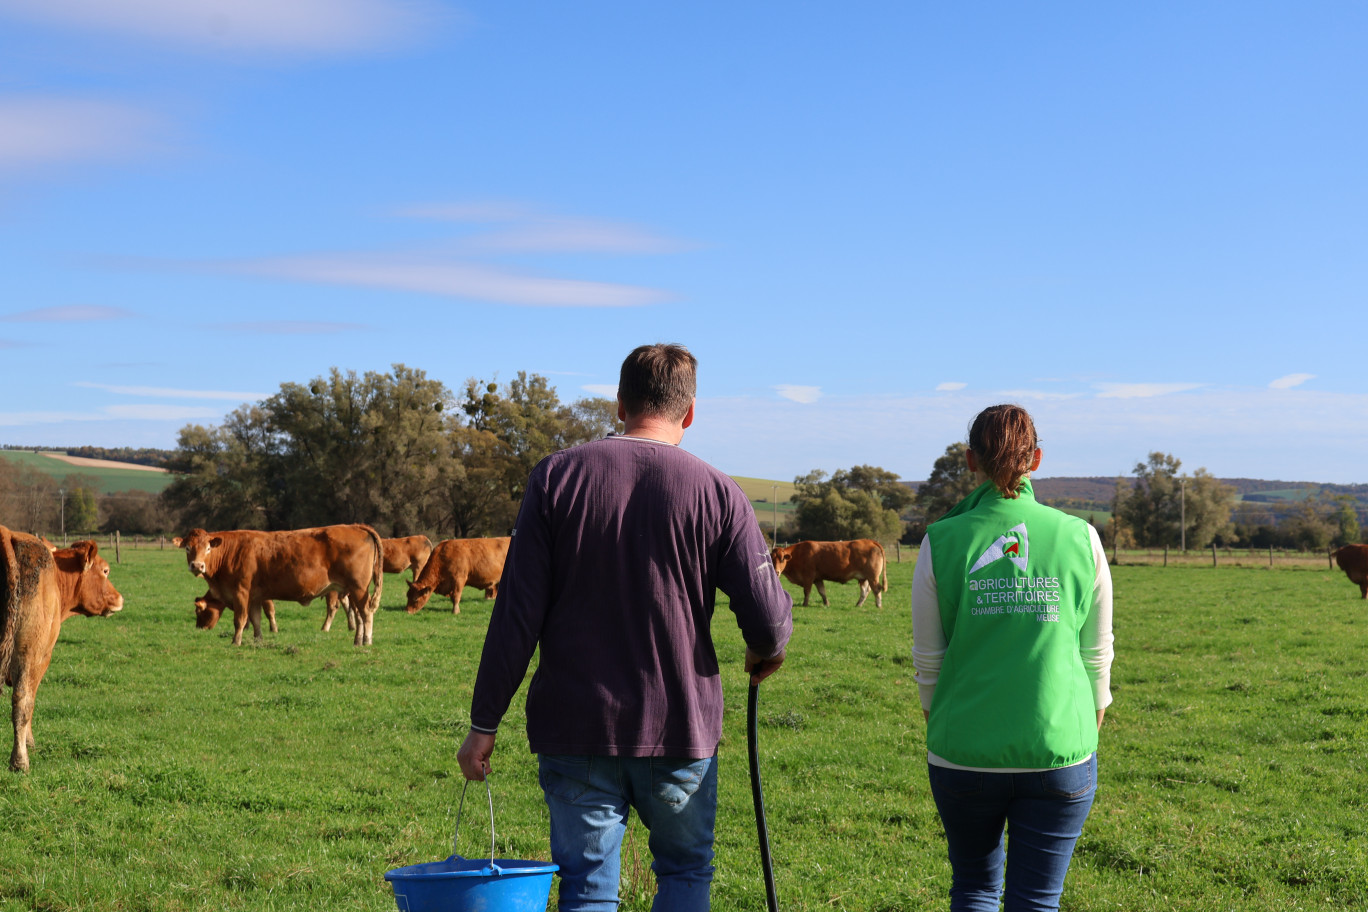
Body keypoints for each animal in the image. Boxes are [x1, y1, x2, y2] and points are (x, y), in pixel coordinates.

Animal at [175, 525, 385, 645]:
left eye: (208, 548)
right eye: (188, 548)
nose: (197, 565)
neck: (231, 551)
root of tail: (356, 527)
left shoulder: (241, 592)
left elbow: (240, 620)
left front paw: (236, 642)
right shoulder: (255, 596)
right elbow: (256, 619)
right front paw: (258, 640)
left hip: (358, 588)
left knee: (366, 613)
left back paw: (367, 641)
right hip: (352, 590)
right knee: (358, 615)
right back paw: (357, 640)